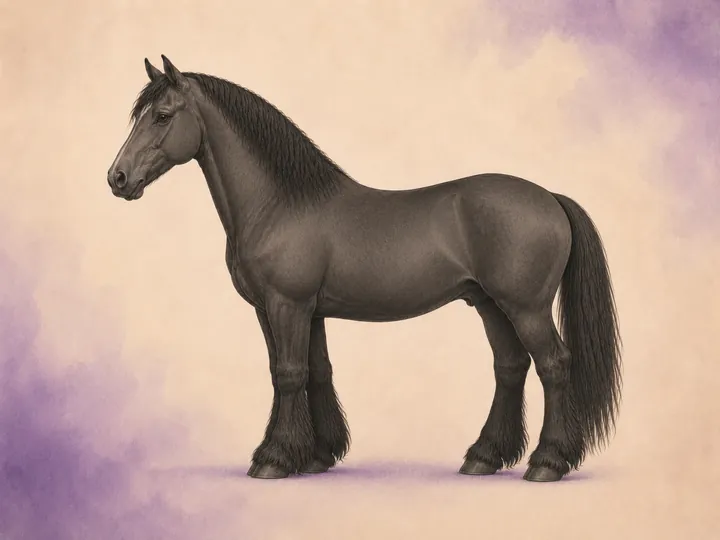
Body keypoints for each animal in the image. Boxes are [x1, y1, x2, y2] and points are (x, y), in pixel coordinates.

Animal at [107, 55, 622, 482]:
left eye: (162, 115)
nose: (118, 178)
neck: (281, 204)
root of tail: (549, 197)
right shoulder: (298, 311)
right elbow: (315, 371)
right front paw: (316, 455)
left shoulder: (287, 305)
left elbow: (287, 373)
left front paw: (273, 459)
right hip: (489, 304)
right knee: (510, 367)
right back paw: (483, 457)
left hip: (526, 307)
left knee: (553, 366)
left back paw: (547, 463)